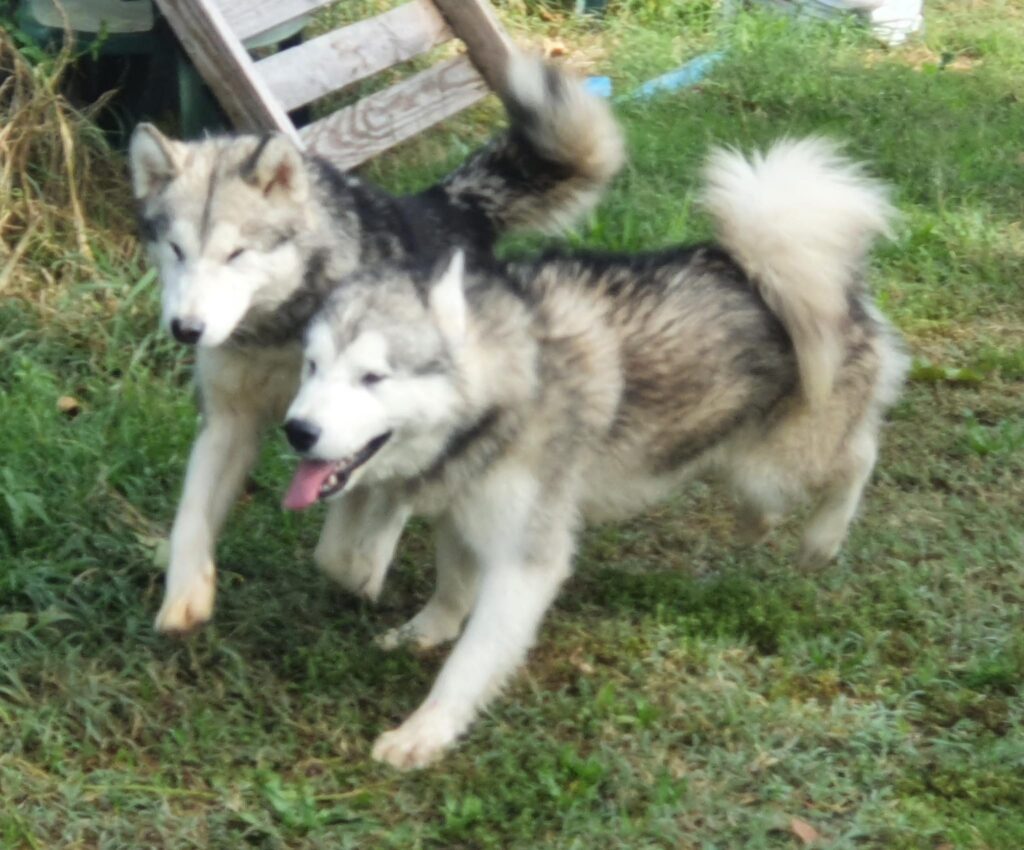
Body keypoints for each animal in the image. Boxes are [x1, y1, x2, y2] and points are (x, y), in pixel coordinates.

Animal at [128, 53, 622, 634]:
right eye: (176, 249)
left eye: (236, 254)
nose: (186, 329)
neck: (280, 329)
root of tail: (446, 205)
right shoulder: (230, 421)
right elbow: (191, 516)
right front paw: (185, 591)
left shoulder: (358, 433)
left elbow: (342, 544)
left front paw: (364, 569)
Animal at [278, 136, 905, 770]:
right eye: (312, 366)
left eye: (372, 377)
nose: (296, 431)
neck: (516, 379)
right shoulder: (463, 510)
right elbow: (451, 587)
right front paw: (427, 630)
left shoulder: (526, 559)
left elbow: (471, 661)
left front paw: (427, 728)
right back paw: (757, 525)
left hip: (779, 463)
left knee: (858, 457)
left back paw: (822, 539)